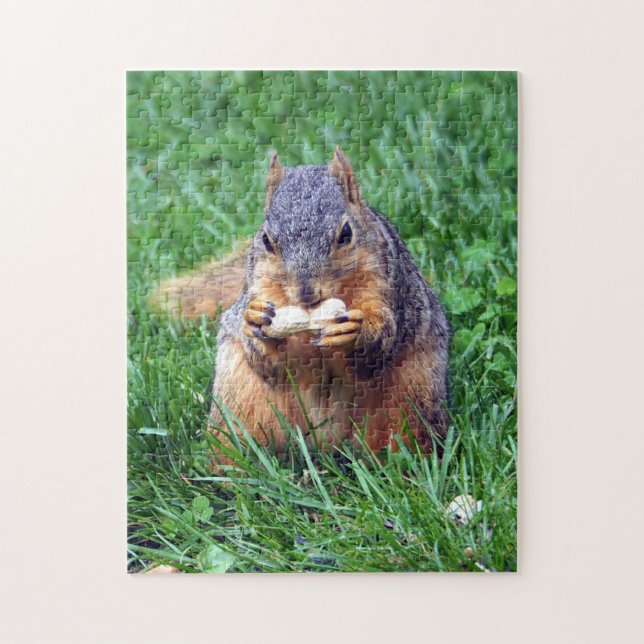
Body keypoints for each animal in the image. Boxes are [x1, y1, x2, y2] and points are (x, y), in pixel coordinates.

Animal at [154, 148, 450, 463]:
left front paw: (357, 331)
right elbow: (269, 363)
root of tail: (323, 442)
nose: (306, 293)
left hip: (412, 397)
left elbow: (382, 342)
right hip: (240, 403)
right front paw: (255, 321)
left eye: (346, 234)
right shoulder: (259, 284)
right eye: (265, 239)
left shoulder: (387, 285)